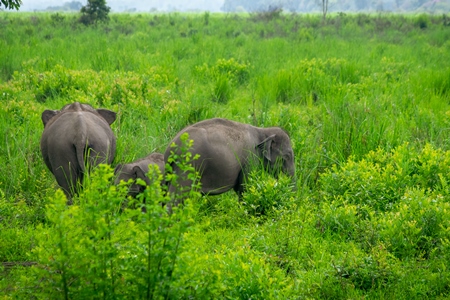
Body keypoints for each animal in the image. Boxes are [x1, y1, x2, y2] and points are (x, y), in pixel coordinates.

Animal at [164, 118, 296, 199]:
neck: (263, 131)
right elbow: (245, 187)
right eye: (287, 156)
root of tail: (171, 148)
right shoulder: (249, 158)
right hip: (188, 166)